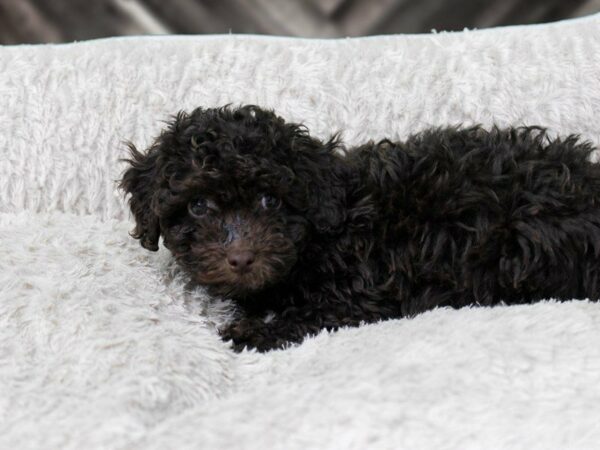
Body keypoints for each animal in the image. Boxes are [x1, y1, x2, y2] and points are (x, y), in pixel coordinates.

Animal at [119, 105, 600, 352]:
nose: (240, 258)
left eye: (270, 200)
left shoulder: (363, 290)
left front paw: (253, 332)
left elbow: (314, 314)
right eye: (197, 206)